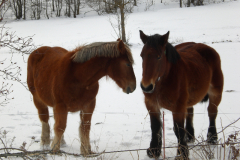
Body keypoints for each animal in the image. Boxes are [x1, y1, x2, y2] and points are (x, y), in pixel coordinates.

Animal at [139, 30, 223, 159]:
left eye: (158, 56)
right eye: (142, 55)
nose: (146, 86)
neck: (163, 80)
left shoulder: (178, 108)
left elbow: (178, 130)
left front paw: (182, 153)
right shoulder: (152, 105)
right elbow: (155, 126)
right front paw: (154, 150)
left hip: (216, 93)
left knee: (212, 112)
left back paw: (212, 138)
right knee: (190, 112)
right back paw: (189, 136)